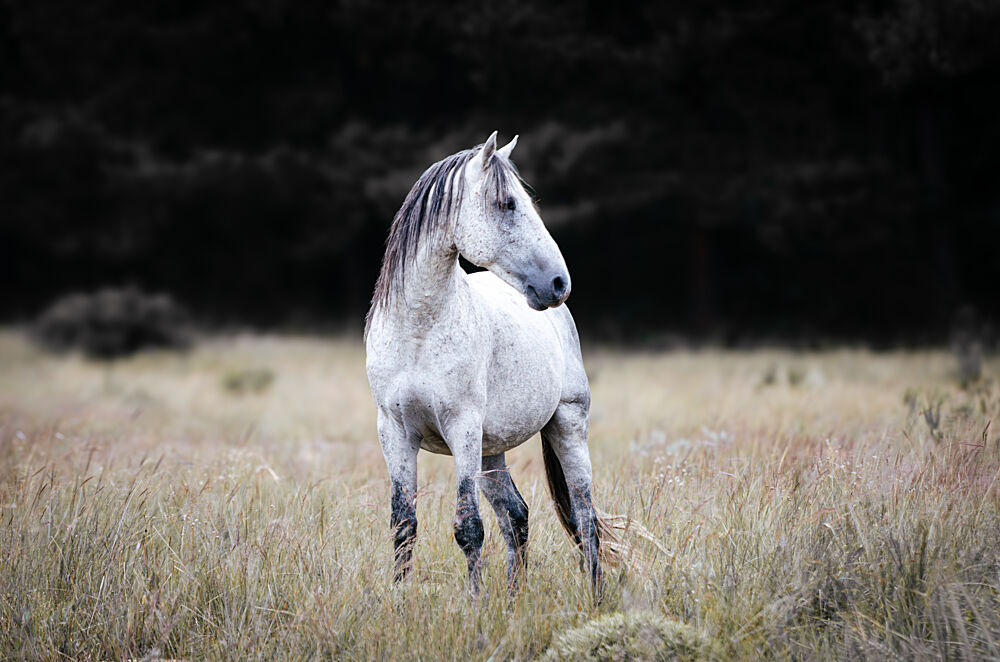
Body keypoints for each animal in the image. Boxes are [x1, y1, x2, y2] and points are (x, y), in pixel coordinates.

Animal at [364, 132, 605, 596]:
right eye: (507, 203)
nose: (558, 283)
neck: (418, 331)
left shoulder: (463, 427)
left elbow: (468, 526)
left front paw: (475, 604)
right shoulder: (394, 432)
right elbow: (404, 526)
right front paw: (398, 602)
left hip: (566, 424)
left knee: (586, 519)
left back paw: (597, 596)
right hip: (493, 450)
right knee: (516, 516)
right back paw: (513, 599)